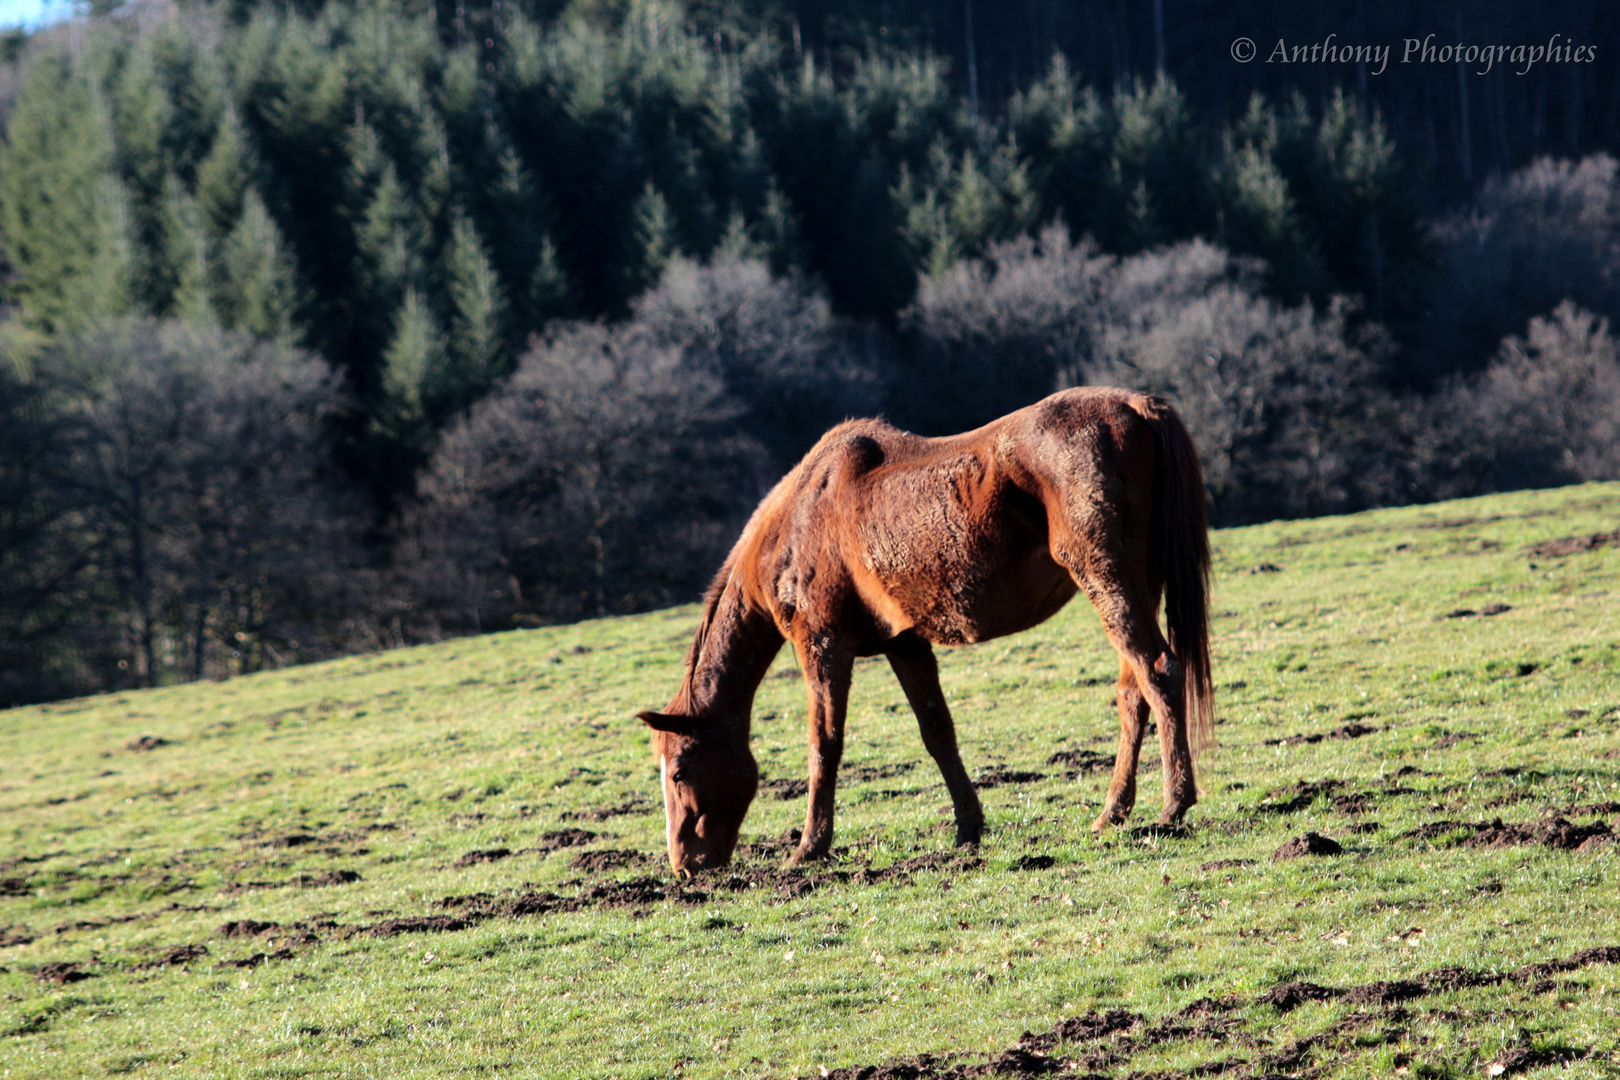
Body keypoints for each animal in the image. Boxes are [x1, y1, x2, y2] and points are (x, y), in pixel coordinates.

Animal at [638, 388, 1211, 880]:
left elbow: (824, 744)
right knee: (1133, 692)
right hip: (1136, 586)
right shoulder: (905, 645)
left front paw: (809, 847)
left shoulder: (822, 646)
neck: (801, 519)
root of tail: (1135, 405)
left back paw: (1172, 805)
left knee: (1158, 671)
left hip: (1106, 580)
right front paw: (968, 827)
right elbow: (937, 732)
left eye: (679, 771)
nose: (685, 866)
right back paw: (1113, 812)